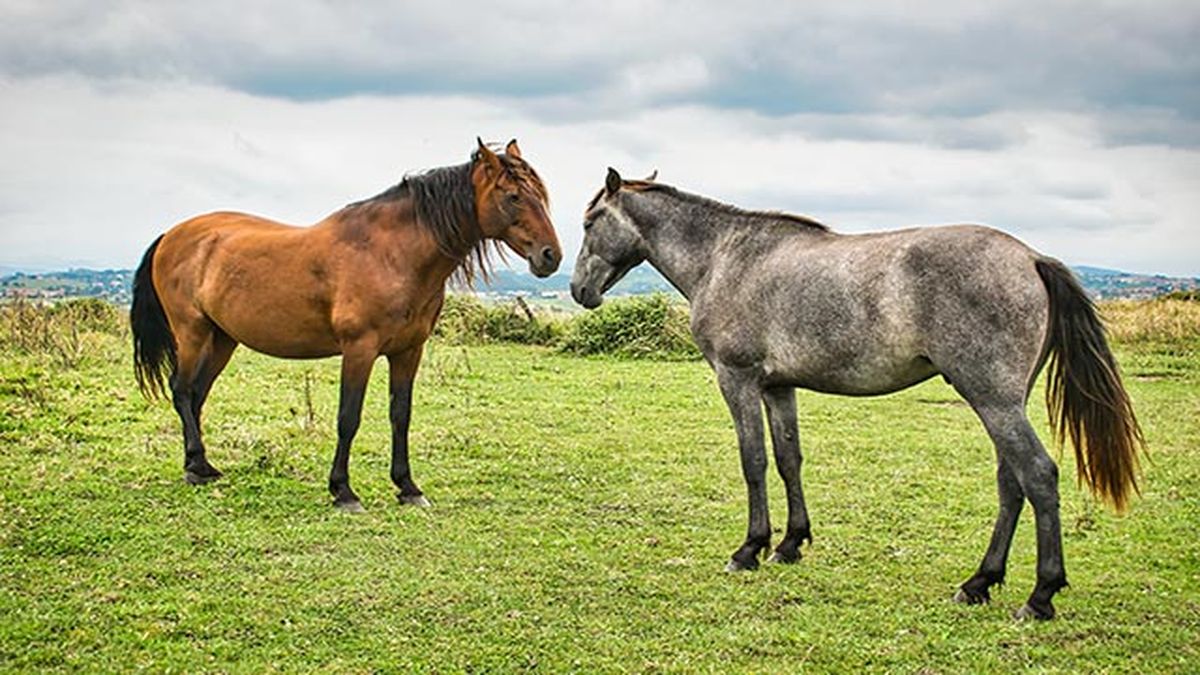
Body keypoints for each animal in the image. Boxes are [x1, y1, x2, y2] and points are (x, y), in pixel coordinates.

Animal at [131, 139, 561, 512]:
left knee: (197, 395)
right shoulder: (359, 349)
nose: (550, 256)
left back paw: (199, 465)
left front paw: (408, 487)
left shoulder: (409, 351)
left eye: (541, 194)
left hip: (223, 339)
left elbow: (400, 415)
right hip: (192, 333)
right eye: (513, 196)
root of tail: (171, 235)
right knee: (182, 390)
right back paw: (196, 467)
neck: (391, 255)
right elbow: (348, 417)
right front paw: (343, 491)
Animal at [570, 168, 1143, 620]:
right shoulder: (778, 387)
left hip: (993, 400)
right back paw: (978, 582)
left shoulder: (738, 380)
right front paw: (790, 544)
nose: (579, 291)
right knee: (1012, 481)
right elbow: (789, 459)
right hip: (1002, 403)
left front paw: (749, 549)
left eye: (589, 223)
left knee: (1038, 476)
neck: (725, 258)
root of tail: (1032, 258)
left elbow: (753, 461)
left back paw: (1040, 596)